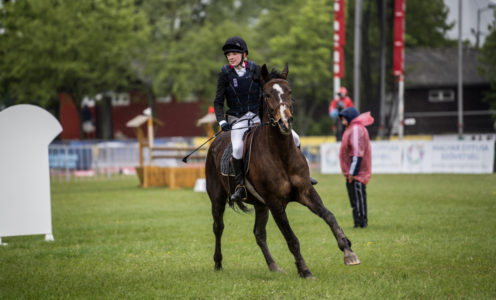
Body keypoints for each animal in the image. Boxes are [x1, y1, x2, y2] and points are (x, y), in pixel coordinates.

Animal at [203, 63, 358, 278]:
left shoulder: (305, 192)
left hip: (261, 205)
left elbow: (329, 216)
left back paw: (274, 267)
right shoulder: (276, 203)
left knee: (259, 234)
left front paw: (348, 251)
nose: (286, 122)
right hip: (218, 198)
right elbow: (292, 239)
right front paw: (304, 271)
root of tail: (216, 142)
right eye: (267, 94)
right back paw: (218, 264)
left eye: (289, 91)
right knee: (218, 227)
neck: (281, 154)